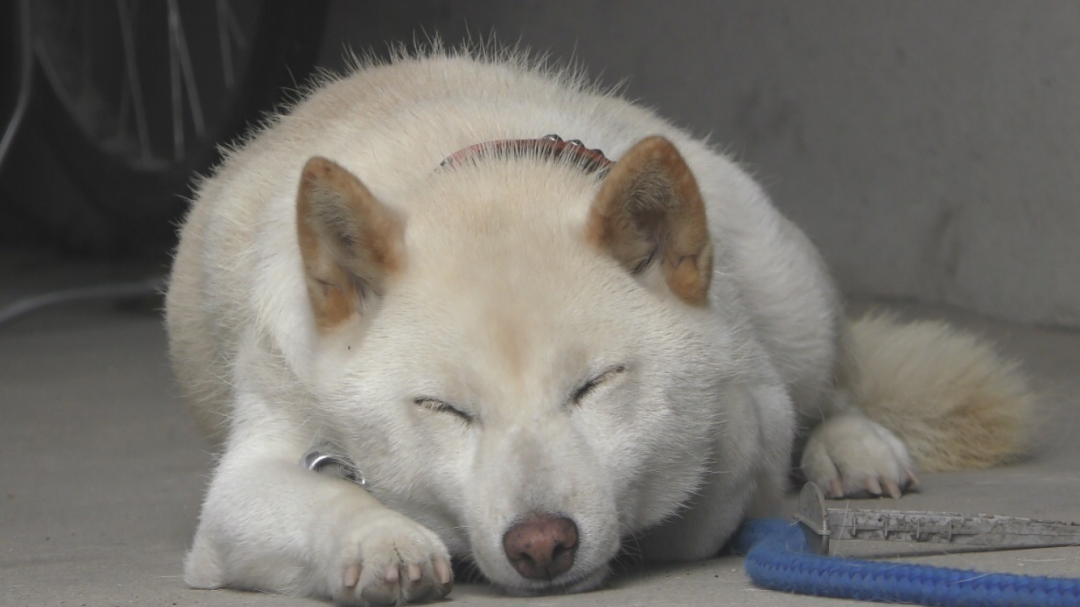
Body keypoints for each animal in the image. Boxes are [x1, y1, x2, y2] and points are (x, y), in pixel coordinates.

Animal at [164, 48, 1032, 604]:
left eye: (594, 384)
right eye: (444, 409)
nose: (541, 542)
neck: (483, 175)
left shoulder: (748, 407)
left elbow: (721, 467)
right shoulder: (241, 484)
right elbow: (315, 496)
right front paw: (380, 540)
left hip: (793, 301)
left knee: (837, 385)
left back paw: (853, 451)